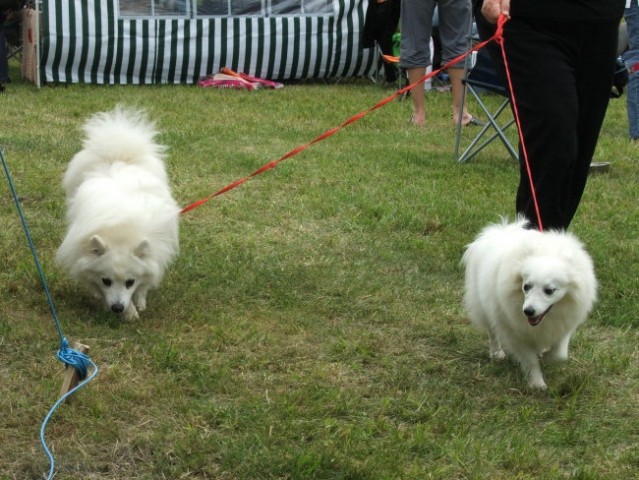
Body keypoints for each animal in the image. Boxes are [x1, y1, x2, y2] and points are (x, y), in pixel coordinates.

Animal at [56, 107, 181, 320]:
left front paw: (137, 303)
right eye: (106, 281)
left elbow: (144, 282)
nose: (117, 307)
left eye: (130, 282)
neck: (121, 230)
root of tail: (118, 156)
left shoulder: (155, 253)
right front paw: (127, 312)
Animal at [462, 218, 596, 390]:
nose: (528, 311)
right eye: (526, 287)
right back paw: (497, 353)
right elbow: (530, 360)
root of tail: (499, 232)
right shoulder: (515, 332)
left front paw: (546, 358)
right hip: (485, 307)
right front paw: (537, 383)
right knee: (492, 331)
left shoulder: (565, 325)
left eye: (549, 291)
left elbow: (560, 354)